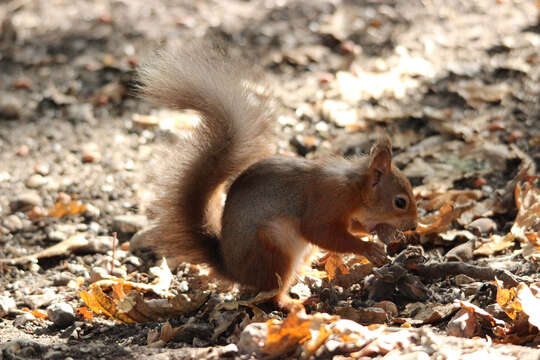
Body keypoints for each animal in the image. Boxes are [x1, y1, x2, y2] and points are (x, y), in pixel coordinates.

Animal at [139, 40, 418, 308]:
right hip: (273, 250)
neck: (355, 189)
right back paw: (296, 302)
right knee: (272, 293)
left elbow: (353, 227)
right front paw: (368, 248)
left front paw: (385, 232)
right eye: (400, 202)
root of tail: (234, 270)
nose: (414, 226)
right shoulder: (328, 201)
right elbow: (319, 232)